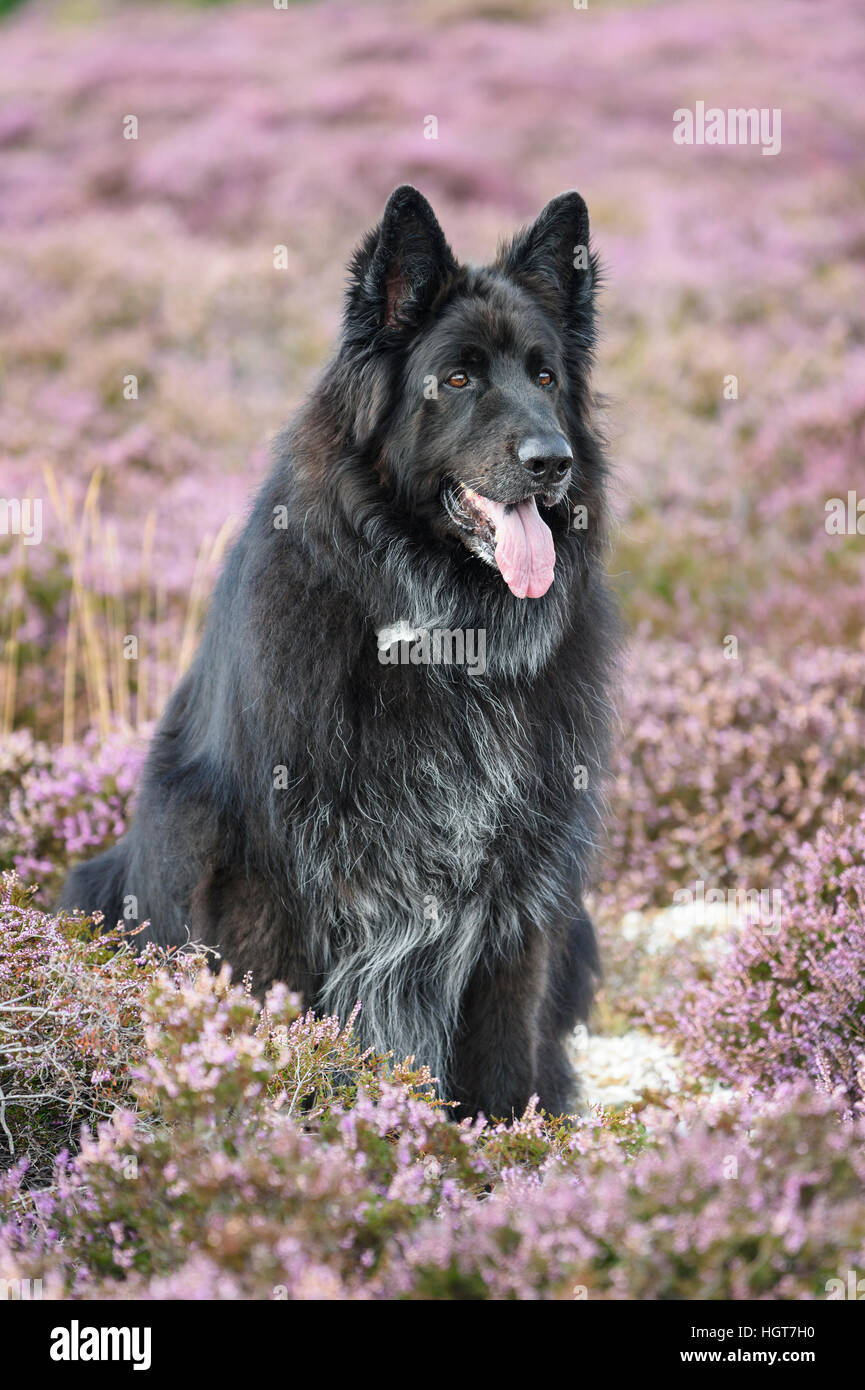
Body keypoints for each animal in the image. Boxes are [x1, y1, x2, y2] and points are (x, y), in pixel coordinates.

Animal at [59, 187, 617, 1117]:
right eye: (457, 378)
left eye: (545, 377)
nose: (553, 461)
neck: (441, 635)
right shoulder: (267, 883)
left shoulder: (521, 898)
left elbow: (507, 1066)